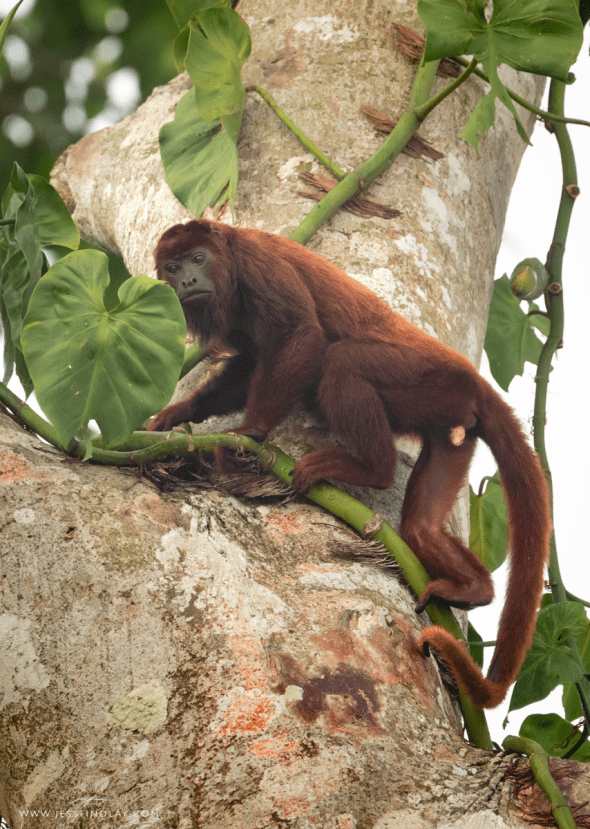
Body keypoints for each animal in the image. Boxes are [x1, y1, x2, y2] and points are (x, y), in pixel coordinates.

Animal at [150, 218, 552, 704]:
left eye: (198, 258)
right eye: (172, 267)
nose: (188, 281)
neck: (229, 259)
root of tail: (474, 383)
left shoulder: (260, 264)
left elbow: (299, 334)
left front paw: (252, 431)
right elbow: (248, 364)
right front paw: (178, 413)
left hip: (427, 378)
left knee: (342, 359)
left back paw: (370, 468)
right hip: (453, 433)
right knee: (419, 528)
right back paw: (474, 588)